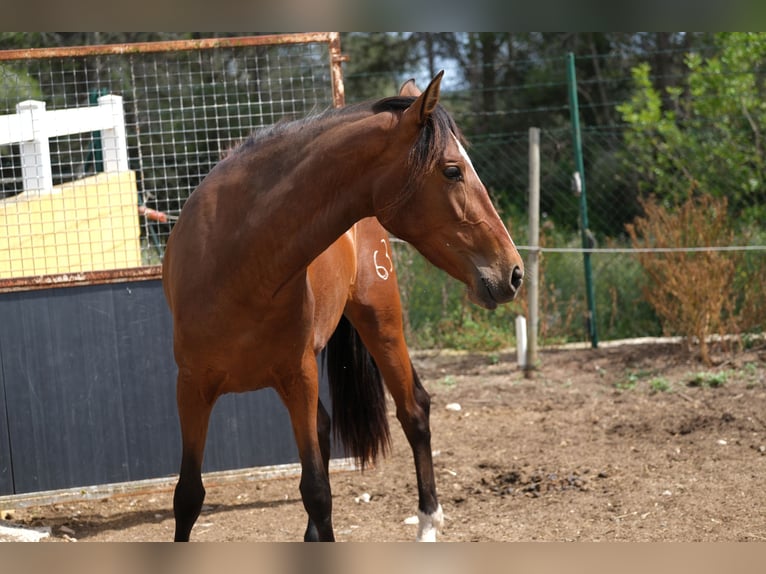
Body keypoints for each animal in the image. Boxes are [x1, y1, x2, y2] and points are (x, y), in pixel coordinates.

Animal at [160, 72, 520, 544]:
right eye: (452, 170)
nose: (513, 271)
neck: (237, 256)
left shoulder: (298, 378)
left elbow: (316, 490)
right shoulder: (191, 388)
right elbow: (188, 495)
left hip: (380, 324)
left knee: (413, 411)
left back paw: (428, 523)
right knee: (328, 427)